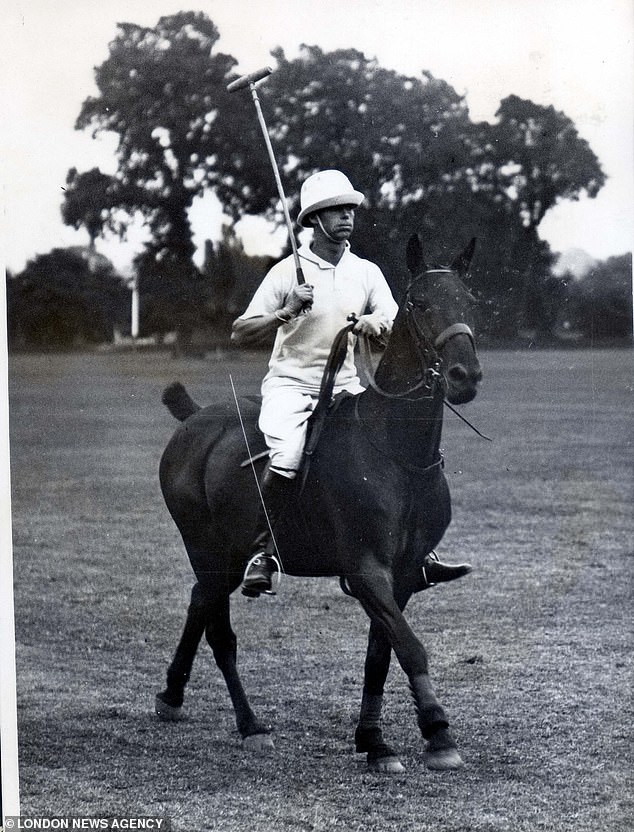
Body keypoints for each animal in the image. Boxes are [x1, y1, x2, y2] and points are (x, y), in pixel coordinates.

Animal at [157, 234, 478, 772]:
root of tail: (195, 417)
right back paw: (251, 726)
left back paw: (171, 697)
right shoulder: (366, 567)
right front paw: (438, 733)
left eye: (470, 300)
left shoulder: (404, 573)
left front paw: (373, 740)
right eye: (418, 303)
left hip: (221, 555)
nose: (464, 375)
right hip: (203, 545)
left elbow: (381, 653)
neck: (398, 453)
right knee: (220, 633)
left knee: (199, 602)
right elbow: (410, 648)